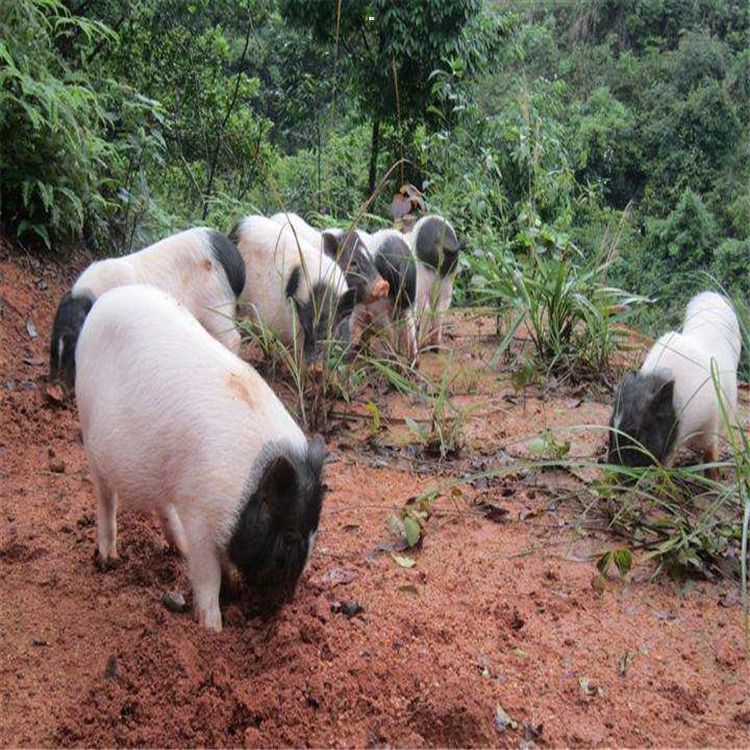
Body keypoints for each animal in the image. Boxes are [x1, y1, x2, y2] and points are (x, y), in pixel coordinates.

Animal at [49, 226, 244, 390]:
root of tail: (237, 263)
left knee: (234, 337)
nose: (54, 390)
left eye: (73, 347)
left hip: (218, 305)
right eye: (53, 342)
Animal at [75, 284, 328, 632]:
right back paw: (108, 558)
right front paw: (213, 628)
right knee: (105, 498)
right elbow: (208, 575)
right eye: (290, 536)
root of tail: (104, 300)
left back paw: (177, 546)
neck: (244, 490)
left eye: (315, 533)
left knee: (161, 505)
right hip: (88, 430)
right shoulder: (200, 513)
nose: (280, 607)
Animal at [406, 213, 464, 348]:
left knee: (426, 310)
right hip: (448, 281)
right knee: (440, 310)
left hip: (422, 281)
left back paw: (421, 343)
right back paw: (436, 344)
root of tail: (442, 240)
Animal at [612, 290, 748, 472]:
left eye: (637, 434)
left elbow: (710, 451)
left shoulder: (712, 419)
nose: (612, 467)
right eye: (610, 429)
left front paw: (713, 474)